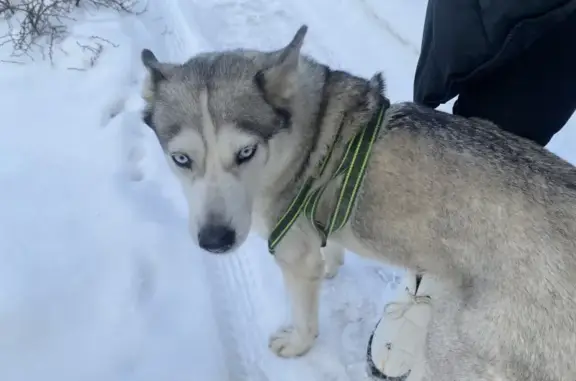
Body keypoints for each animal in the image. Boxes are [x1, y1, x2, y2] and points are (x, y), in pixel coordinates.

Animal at [140, 26, 576, 380]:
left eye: (246, 152)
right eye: (181, 159)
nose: (215, 240)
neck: (307, 140)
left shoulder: (293, 258)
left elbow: (305, 318)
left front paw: (297, 345)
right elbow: (332, 244)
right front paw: (332, 263)